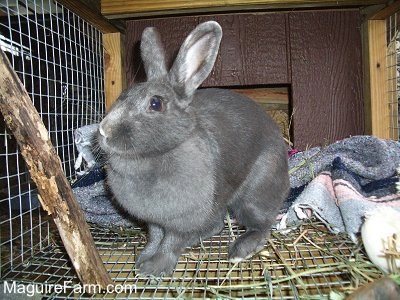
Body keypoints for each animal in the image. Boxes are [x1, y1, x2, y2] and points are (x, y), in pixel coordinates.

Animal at [98, 21, 290, 276]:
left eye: (155, 103)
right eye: (123, 95)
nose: (104, 131)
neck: (155, 155)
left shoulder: (182, 220)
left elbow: (170, 241)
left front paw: (156, 268)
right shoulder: (154, 220)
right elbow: (155, 237)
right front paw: (142, 262)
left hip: (254, 194)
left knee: (262, 225)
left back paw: (240, 250)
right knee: (218, 224)